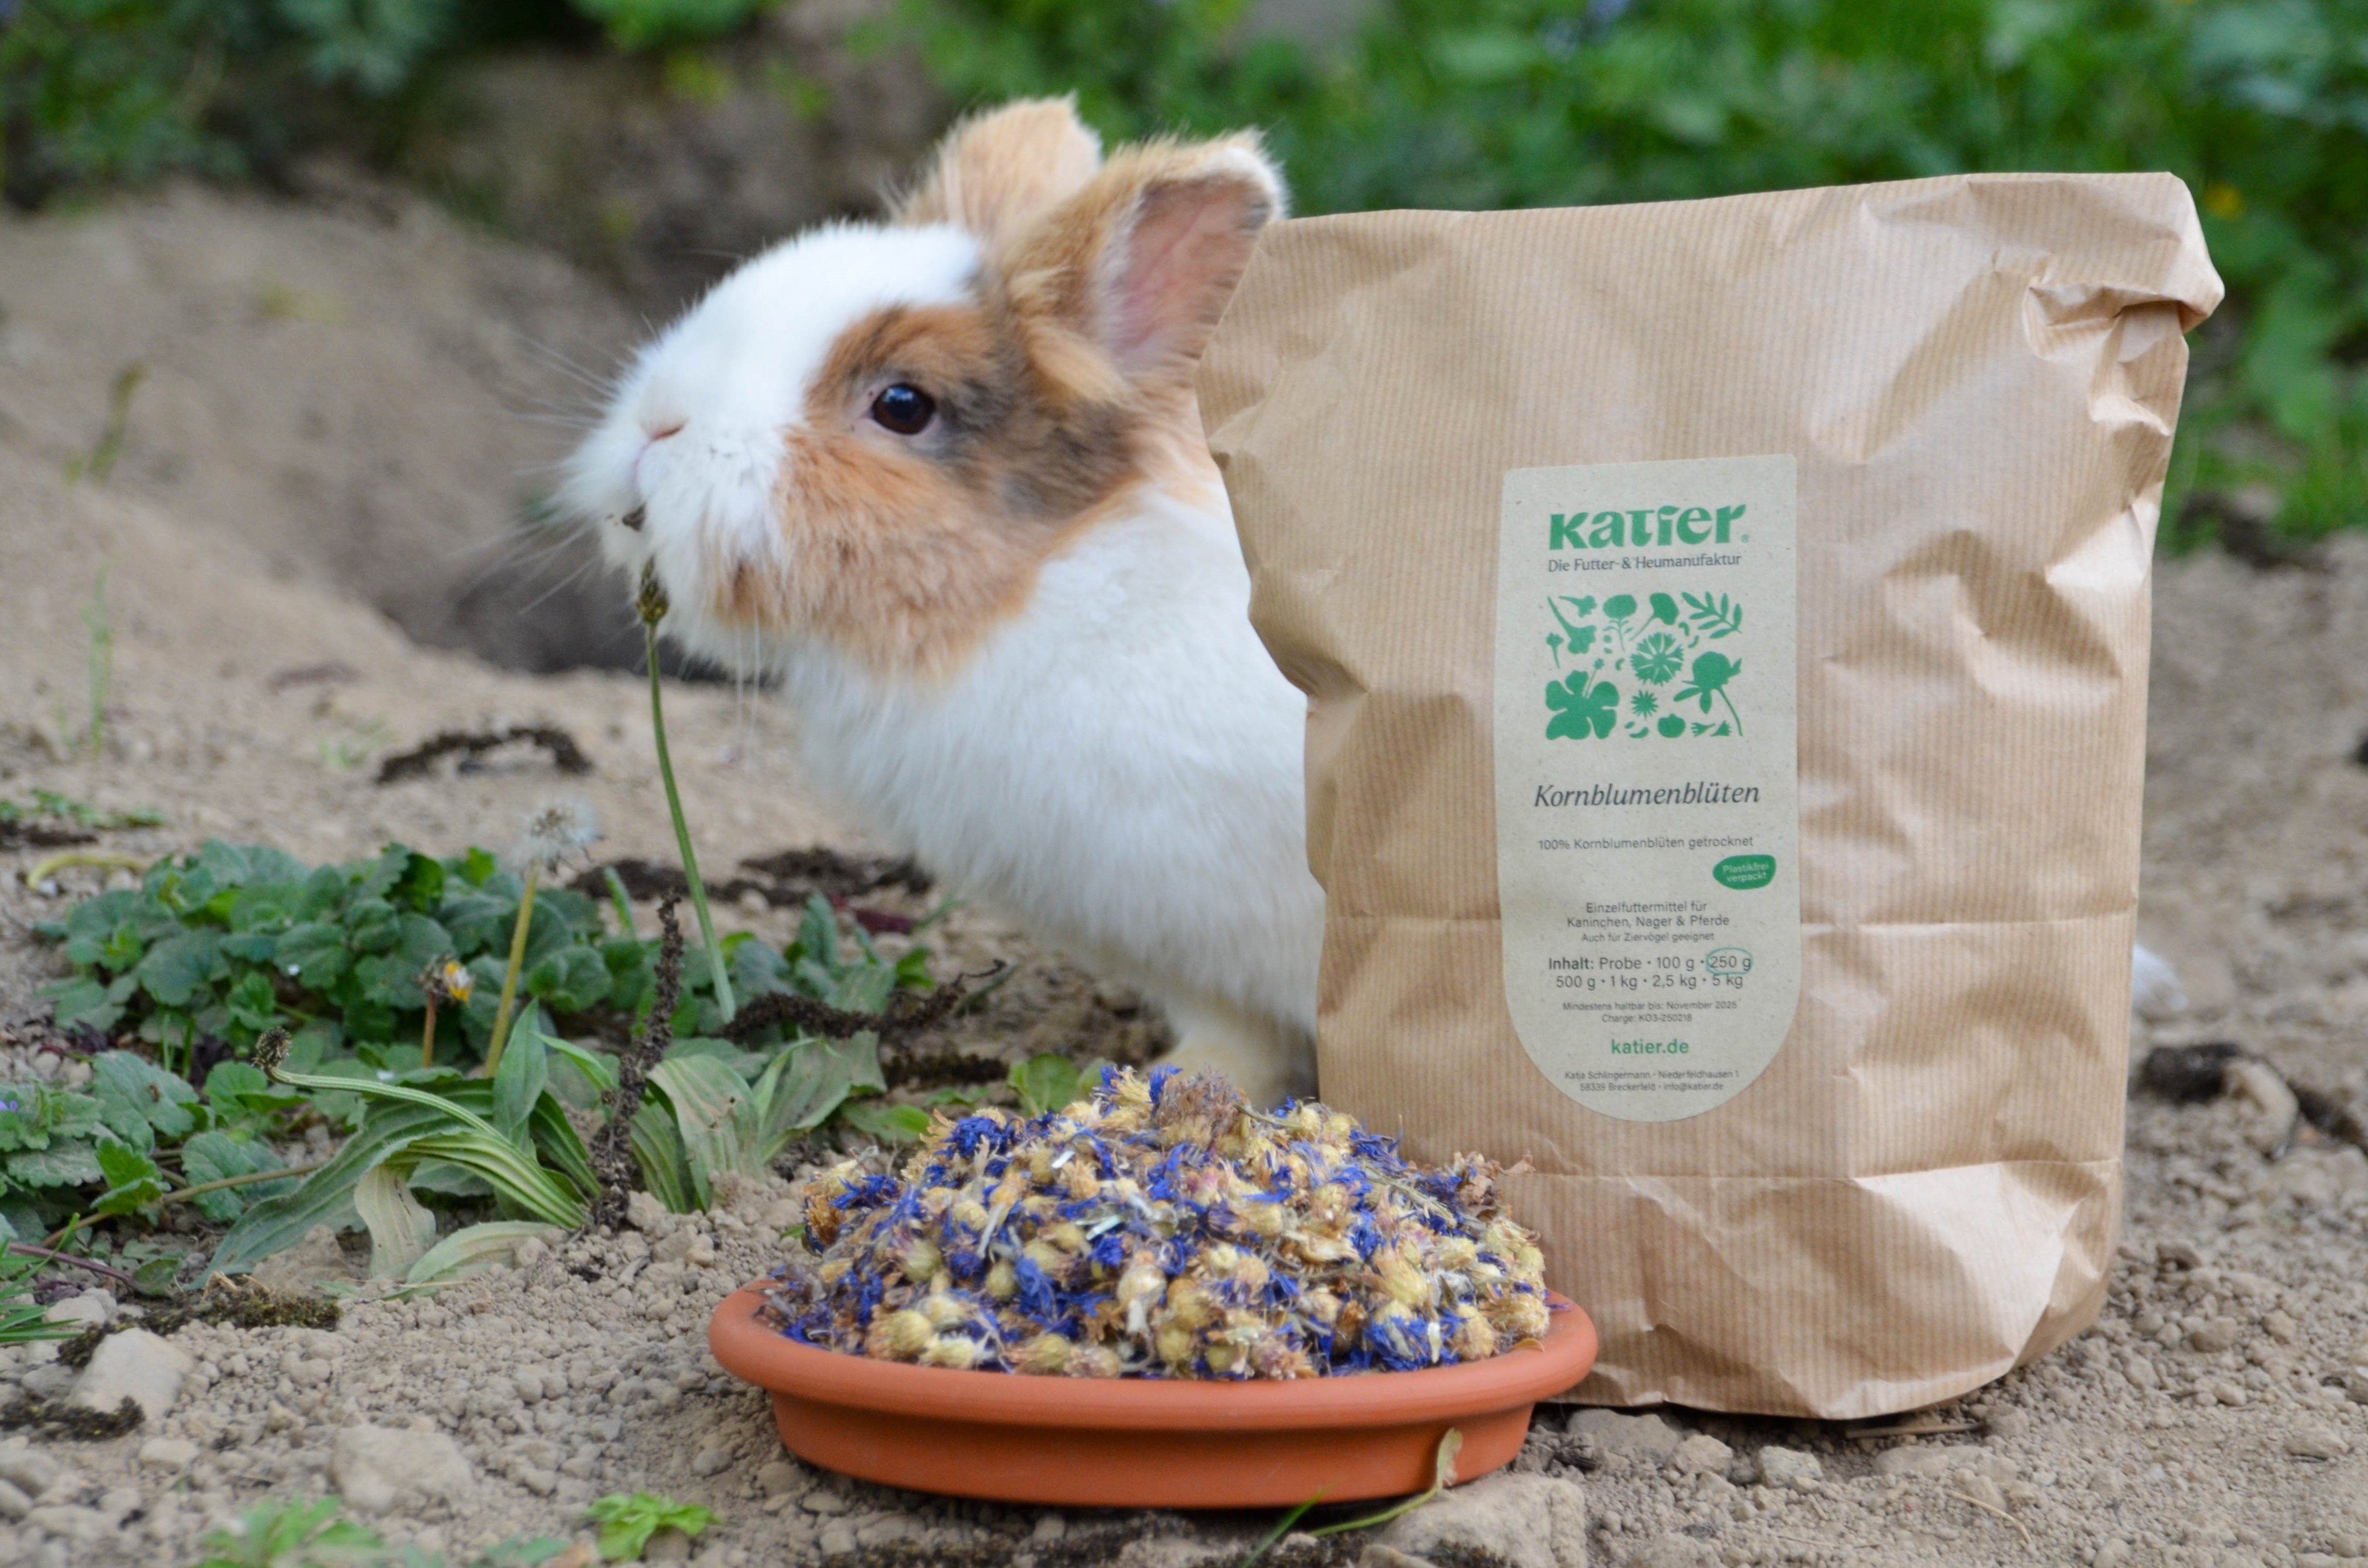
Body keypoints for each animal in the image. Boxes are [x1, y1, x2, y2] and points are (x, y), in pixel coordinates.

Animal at [565, 99, 1325, 1106]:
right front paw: (1166, 1084)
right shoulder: (1200, 957)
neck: (1042, 586)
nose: (658, 423)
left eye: (902, 405)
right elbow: (1236, 1038)